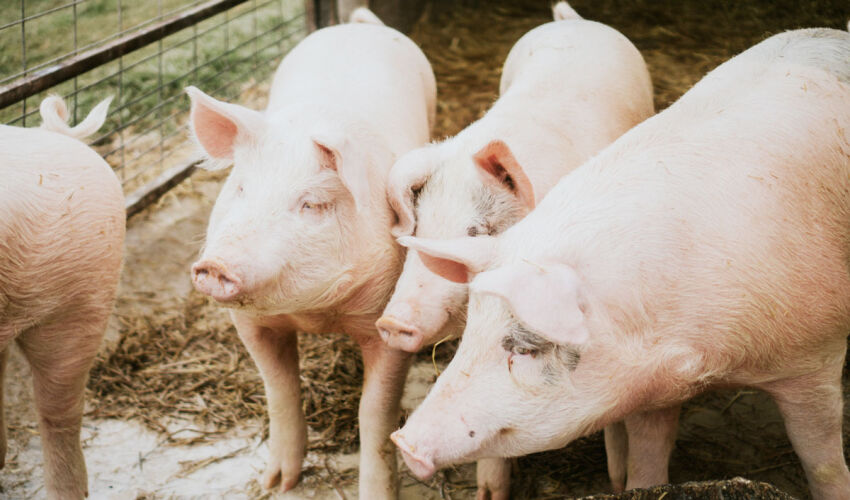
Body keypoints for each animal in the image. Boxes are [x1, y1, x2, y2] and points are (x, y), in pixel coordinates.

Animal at [186, 8, 435, 499]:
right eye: (240, 188)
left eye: (312, 204)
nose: (214, 265)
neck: (316, 314)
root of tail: (357, 24)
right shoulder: (249, 323)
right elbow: (279, 390)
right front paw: (275, 484)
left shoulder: (390, 323)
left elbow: (375, 414)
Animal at [376, 2, 654, 496]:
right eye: (421, 226)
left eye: (477, 232)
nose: (391, 322)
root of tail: (572, 21)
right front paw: (490, 491)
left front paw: (618, 480)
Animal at [392, 27, 850, 500]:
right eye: (470, 336)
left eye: (526, 348)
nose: (403, 441)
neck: (706, 360)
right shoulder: (651, 388)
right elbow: (647, 463)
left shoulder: (816, 357)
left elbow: (823, 463)